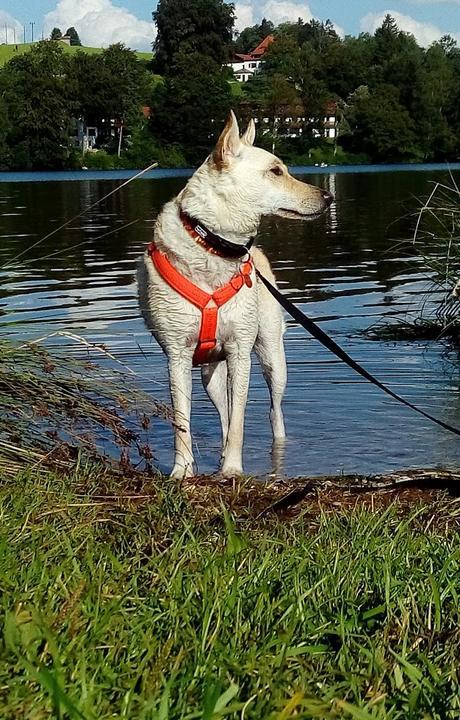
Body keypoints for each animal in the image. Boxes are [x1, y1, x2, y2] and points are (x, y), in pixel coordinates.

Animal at [137, 112, 330, 478]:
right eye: (275, 171)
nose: (328, 198)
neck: (213, 242)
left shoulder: (241, 352)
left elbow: (241, 419)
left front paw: (232, 470)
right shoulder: (177, 357)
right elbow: (182, 420)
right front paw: (182, 471)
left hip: (272, 357)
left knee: (273, 412)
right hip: (210, 374)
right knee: (224, 416)